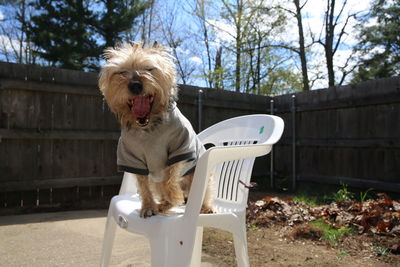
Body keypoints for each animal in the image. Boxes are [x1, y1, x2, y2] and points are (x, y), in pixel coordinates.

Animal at [98, 41, 214, 218]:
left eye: (149, 69)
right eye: (121, 72)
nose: (135, 85)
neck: (149, 127)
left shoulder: (180, 147)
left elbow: (171, 176)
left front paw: (173, 194)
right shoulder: (132, 158)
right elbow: (144, 186)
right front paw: (148, 207)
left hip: (197, 177)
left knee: (203, 192)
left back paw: (205, 207)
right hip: (156, 180)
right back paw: (162, 205)